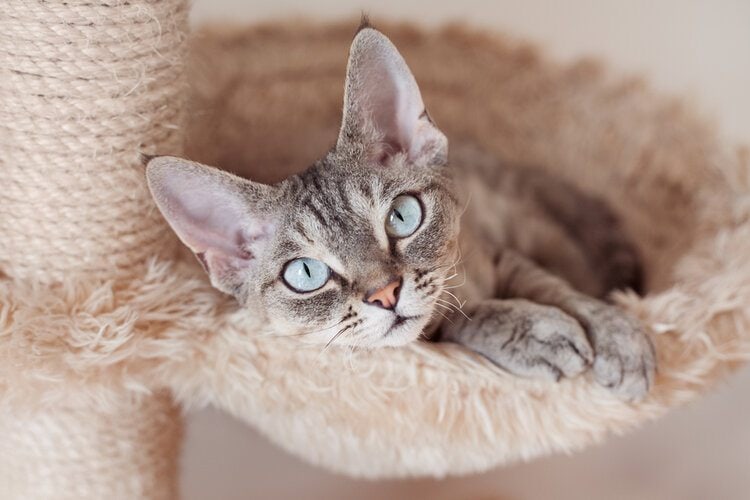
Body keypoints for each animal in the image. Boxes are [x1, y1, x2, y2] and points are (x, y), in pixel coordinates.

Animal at [147, 22, 656, 402]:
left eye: (402, 217)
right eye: (307, 274)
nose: (386, 294)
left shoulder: (498, 252)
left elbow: (559, 288)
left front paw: (616, 334)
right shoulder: (435, 332)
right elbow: (461, 318)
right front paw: (532, 332)